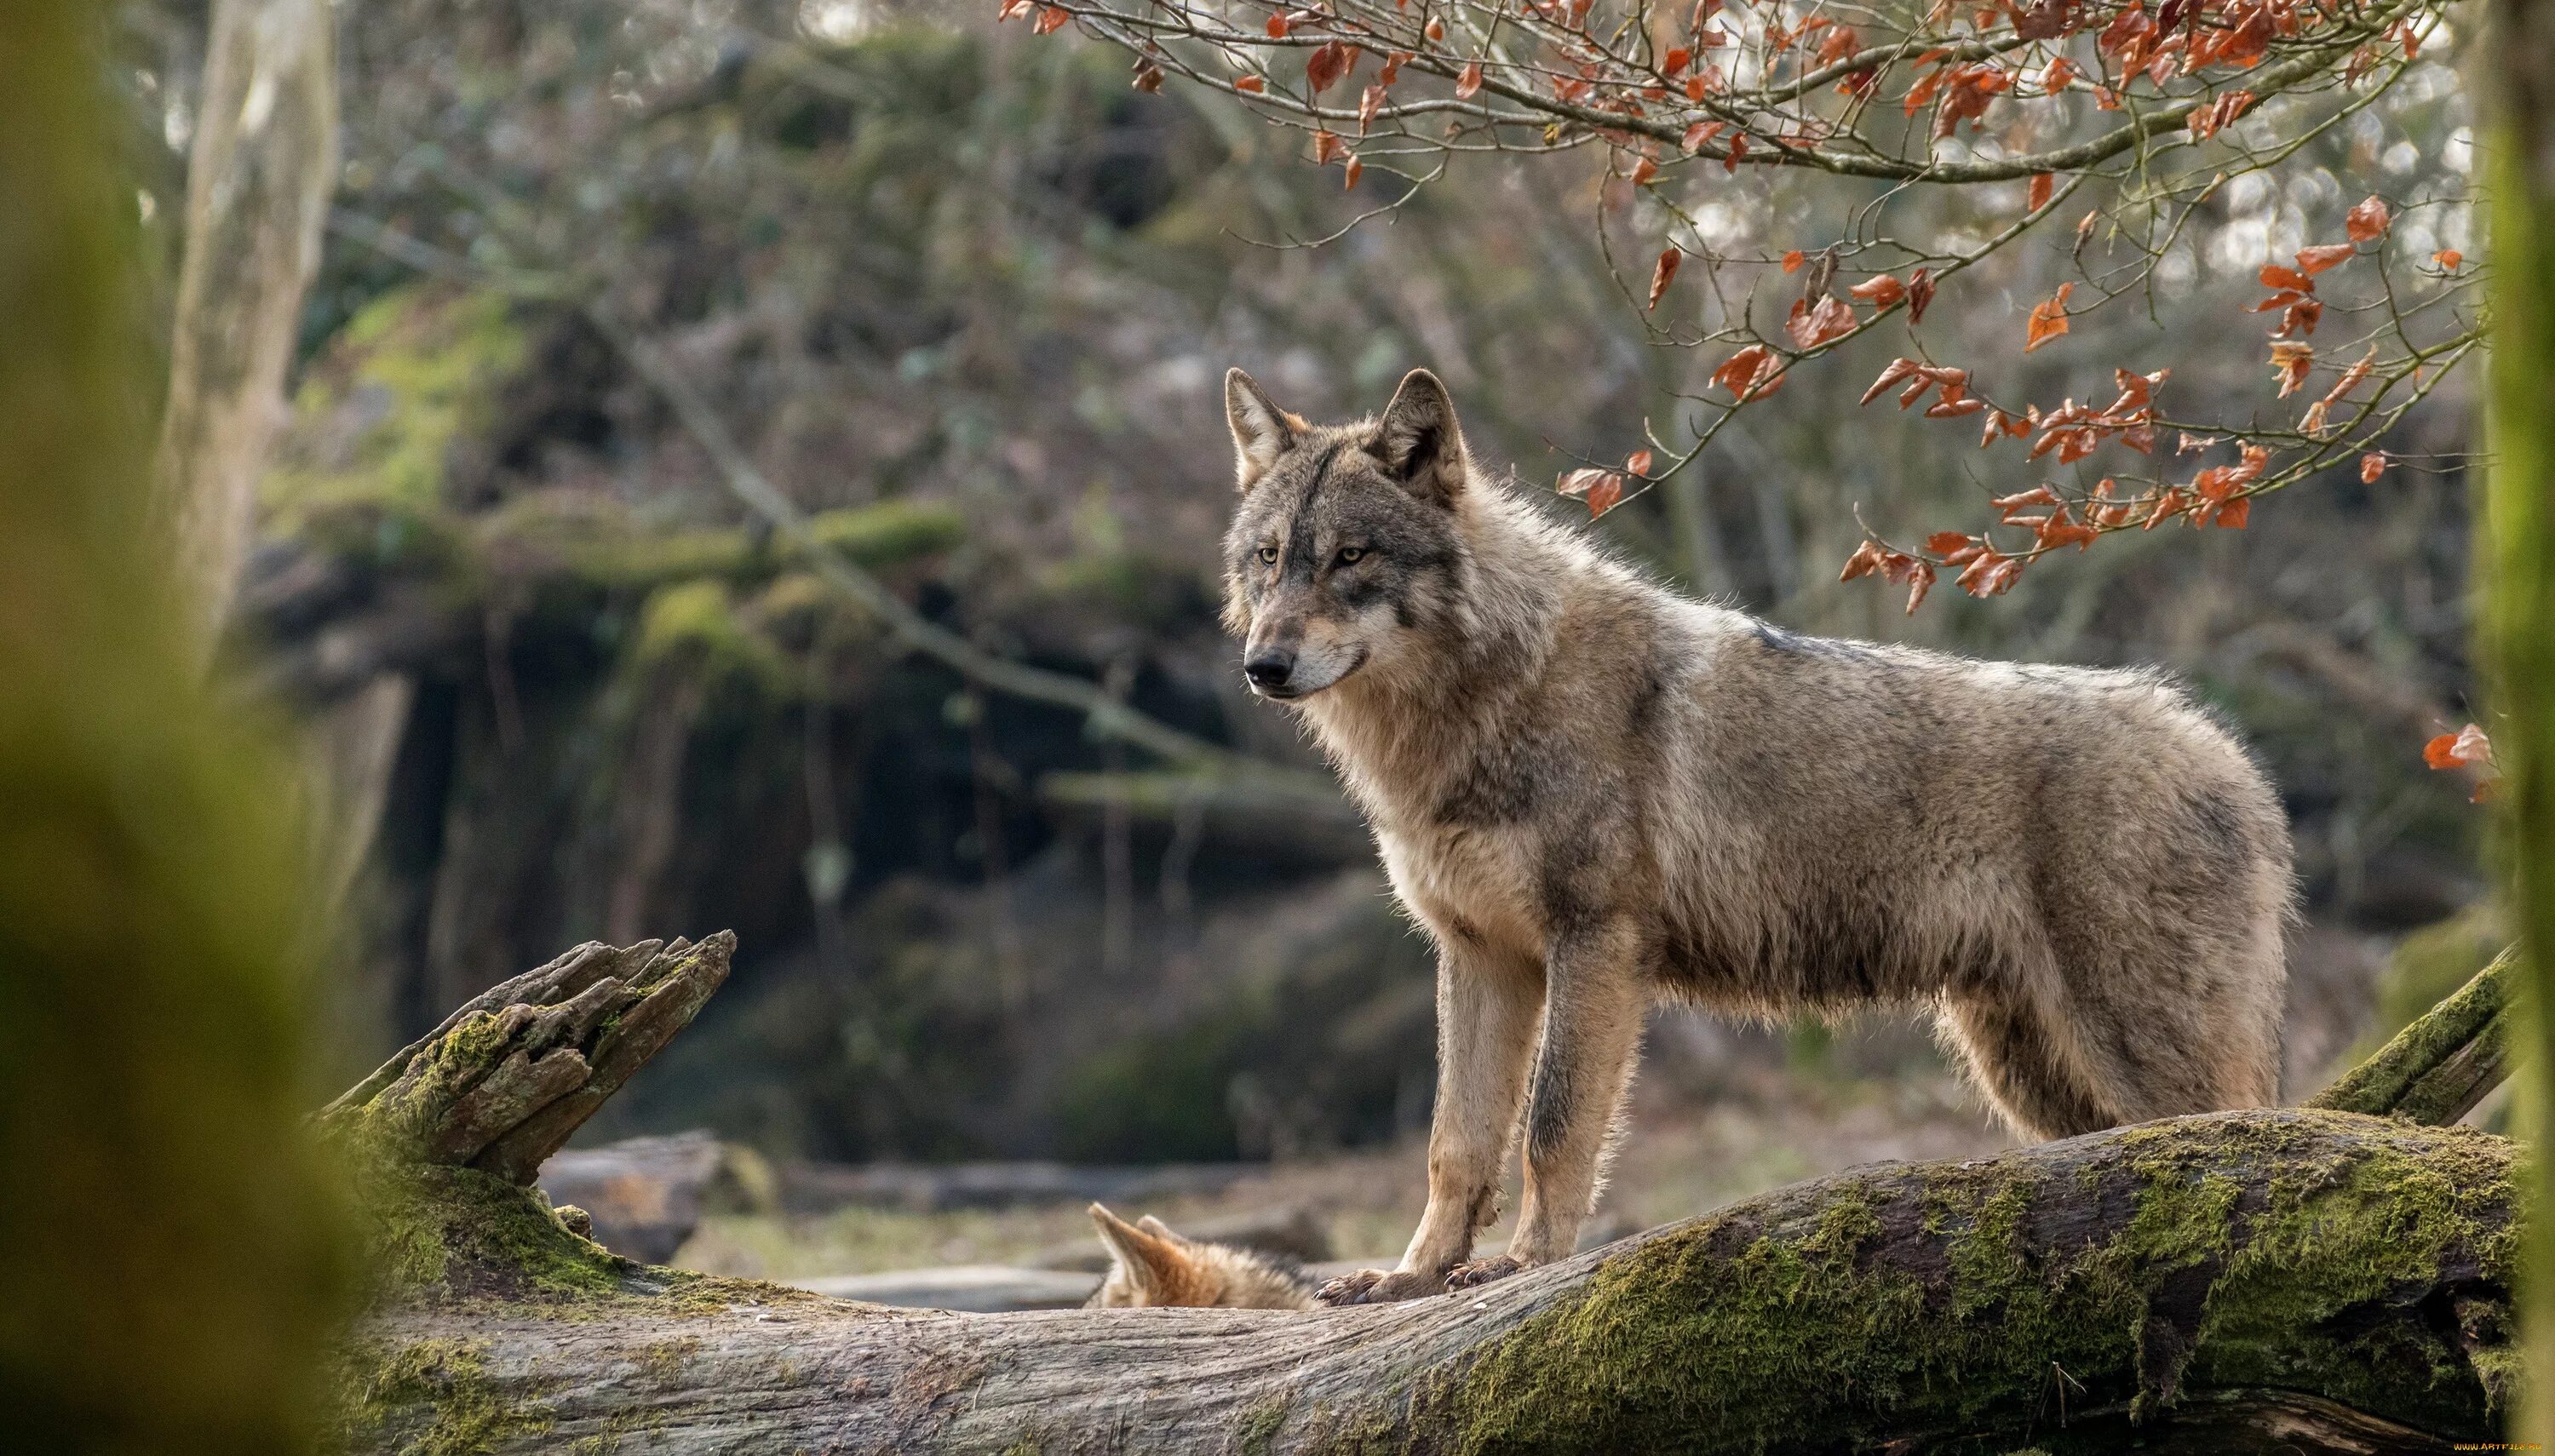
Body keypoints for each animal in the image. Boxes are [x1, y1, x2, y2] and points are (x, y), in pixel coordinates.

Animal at [1216, 368, 2300, 1298]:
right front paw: (1411, 1278)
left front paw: (1525, 1264)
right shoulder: (1480, 954)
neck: (1477, 705)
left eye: (1351, 556)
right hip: (2033, 1076)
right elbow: (1457, 1142)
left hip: (2128, 1055)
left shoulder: (1596, 943)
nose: (1262, 666)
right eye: (1270, 558)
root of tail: (2231, 758)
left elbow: (1553, 1127)